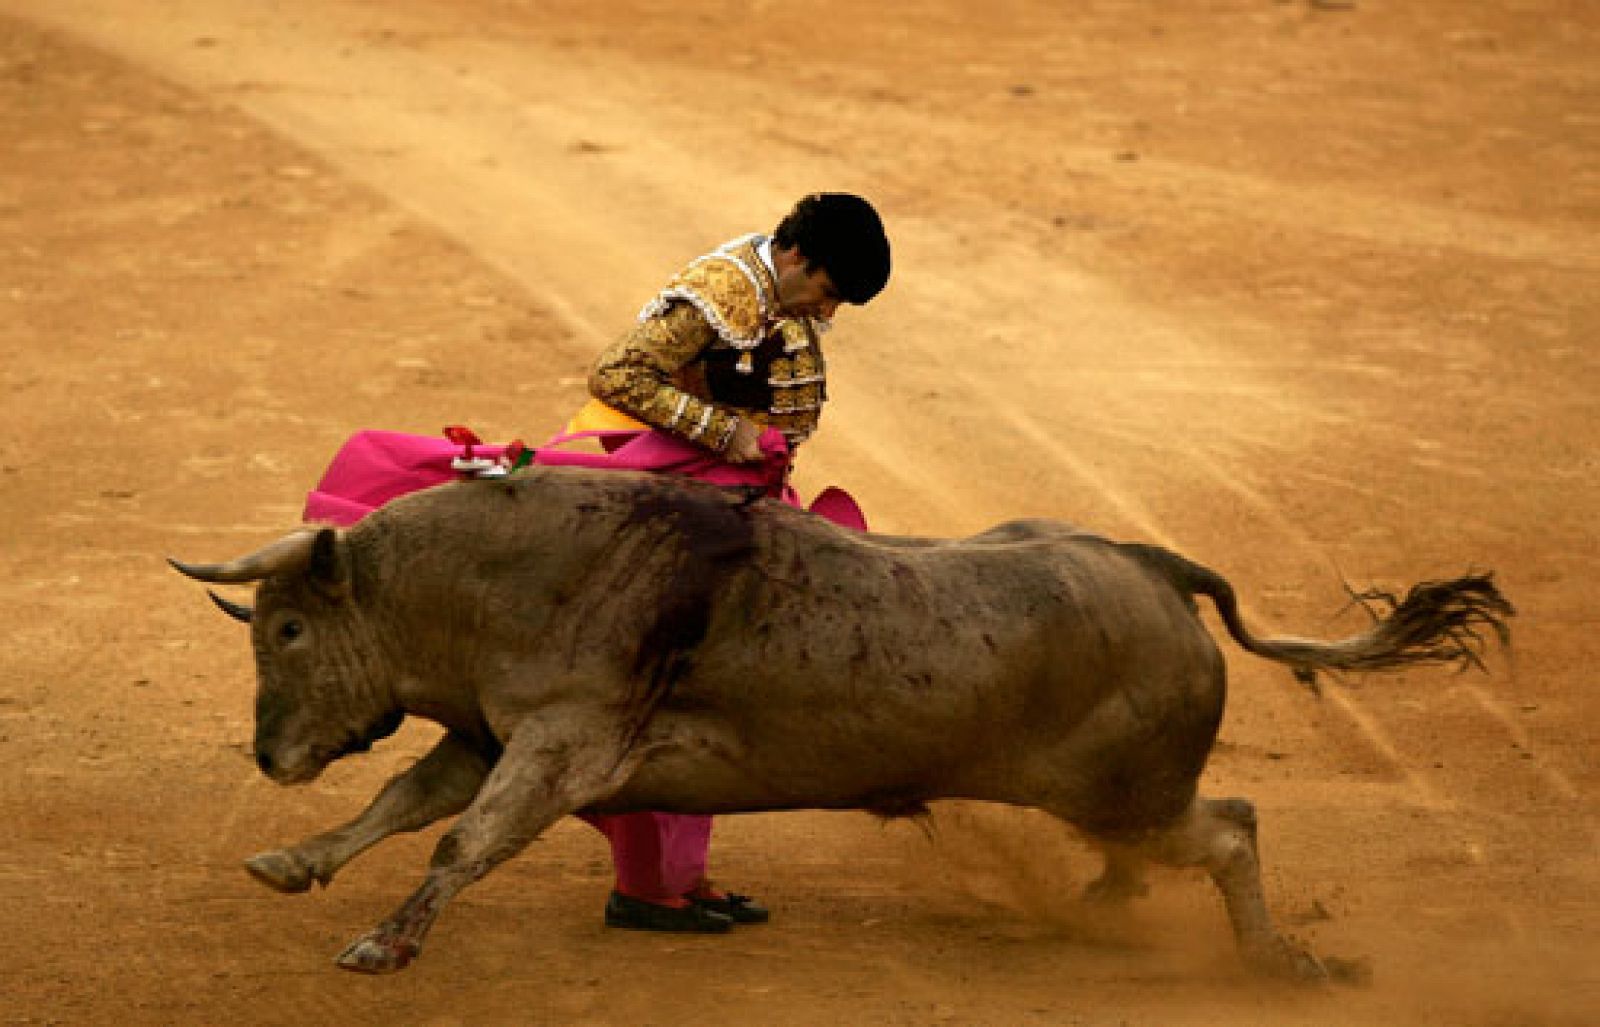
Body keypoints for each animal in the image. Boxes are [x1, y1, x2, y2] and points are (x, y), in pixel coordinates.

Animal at [168, 463, 1504, 972]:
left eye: (287, 632)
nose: (268, 754)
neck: (495, 574)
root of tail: (1147, 560)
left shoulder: (555, 747)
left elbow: (458, 838)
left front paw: (382, 944)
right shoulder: (492, 737)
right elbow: (403, 802)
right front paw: (292, 860)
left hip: (1129, 790)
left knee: (1229, 824)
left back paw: (1274, 960)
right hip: (1120, 795)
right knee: (1193, 830)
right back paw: (1107, 901)